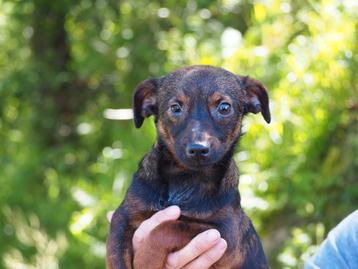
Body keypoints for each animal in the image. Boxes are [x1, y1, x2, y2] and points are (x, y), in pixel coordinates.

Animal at [107, 65, 272, 268]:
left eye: (224, 107)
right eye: (175, 108)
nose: (198, 149)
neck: (185, 177)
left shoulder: (226, 235)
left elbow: (168, 228)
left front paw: (145, 258)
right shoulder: (122, 217)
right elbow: (116, 256)